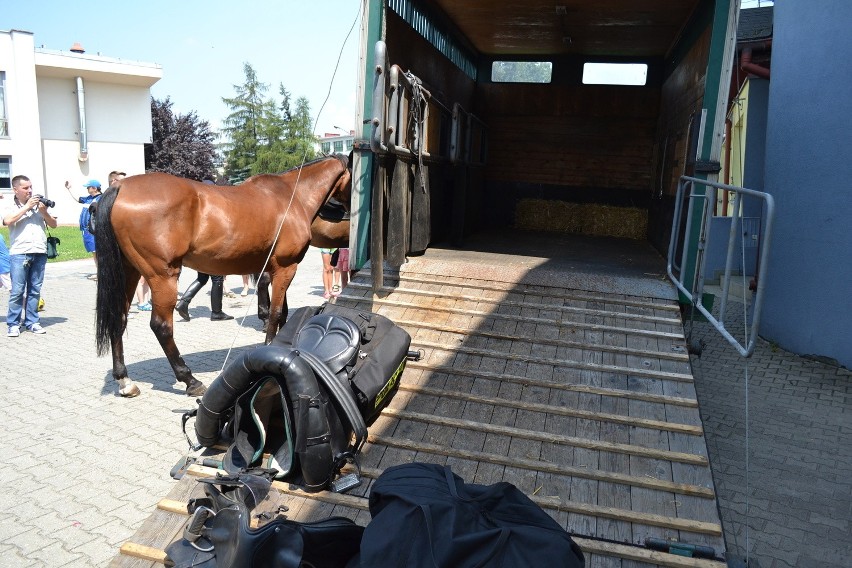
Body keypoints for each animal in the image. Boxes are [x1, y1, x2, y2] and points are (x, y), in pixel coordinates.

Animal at [91, 153, 348, 398]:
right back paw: (190, 380)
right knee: (161, 326)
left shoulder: (277, 268)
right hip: (162, 276)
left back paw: (125, 381)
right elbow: (276, 313)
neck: (292, 196)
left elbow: (282, 312)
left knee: (118, 319)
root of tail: (120, 187)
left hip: (129, 272)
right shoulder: (286, 267)